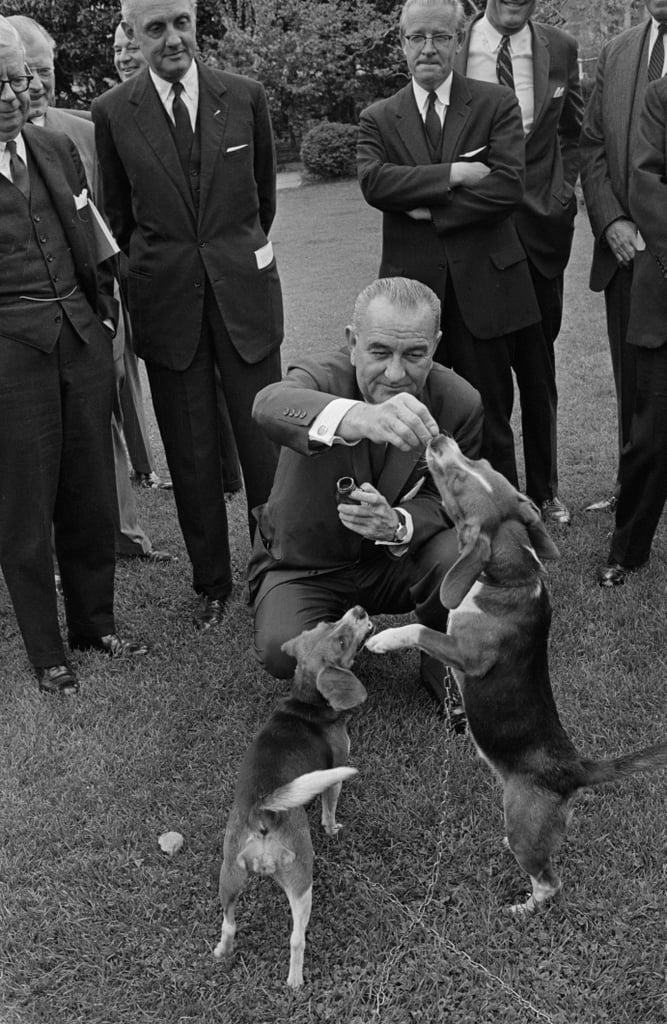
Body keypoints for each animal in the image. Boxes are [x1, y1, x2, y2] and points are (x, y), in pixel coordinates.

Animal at [213, 606, 370, 983]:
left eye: (326, 623)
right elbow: (330, 808)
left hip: (229, 875)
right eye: (342, 640)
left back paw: (223, 952)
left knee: (228, 924)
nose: (358, 610)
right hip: (301, 885)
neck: (305, 700)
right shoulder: (334, 775)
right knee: (296, 939)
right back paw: (295, 980)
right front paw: (332, 828)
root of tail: (263, 811)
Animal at [368, 432, 663, 913]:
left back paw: (521, 909)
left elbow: (419, 628)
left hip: (522, 824)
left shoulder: (466, 654)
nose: (439, 438)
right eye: (481, 461)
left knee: (548, 882)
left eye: (456, 480)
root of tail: (573, 770)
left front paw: (380, 639)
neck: (510, 577)